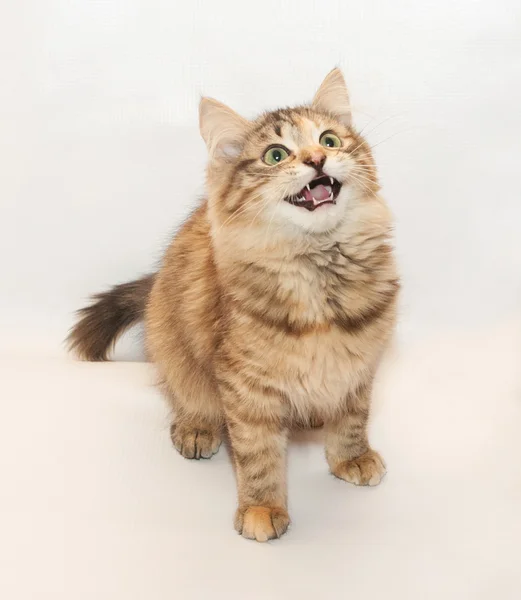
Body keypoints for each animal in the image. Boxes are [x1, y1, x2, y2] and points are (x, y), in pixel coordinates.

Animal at [66, 68, 398, 540]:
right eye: (276, 155)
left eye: (329, 140)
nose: (317, 159)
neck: (318, 273)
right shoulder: (245, 383)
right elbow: (257, 454)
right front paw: (261, 508)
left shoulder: (358, 363)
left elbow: (351, 420)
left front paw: (351, 457)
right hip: (172, 346)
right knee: (186, 395)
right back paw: (196, 429)